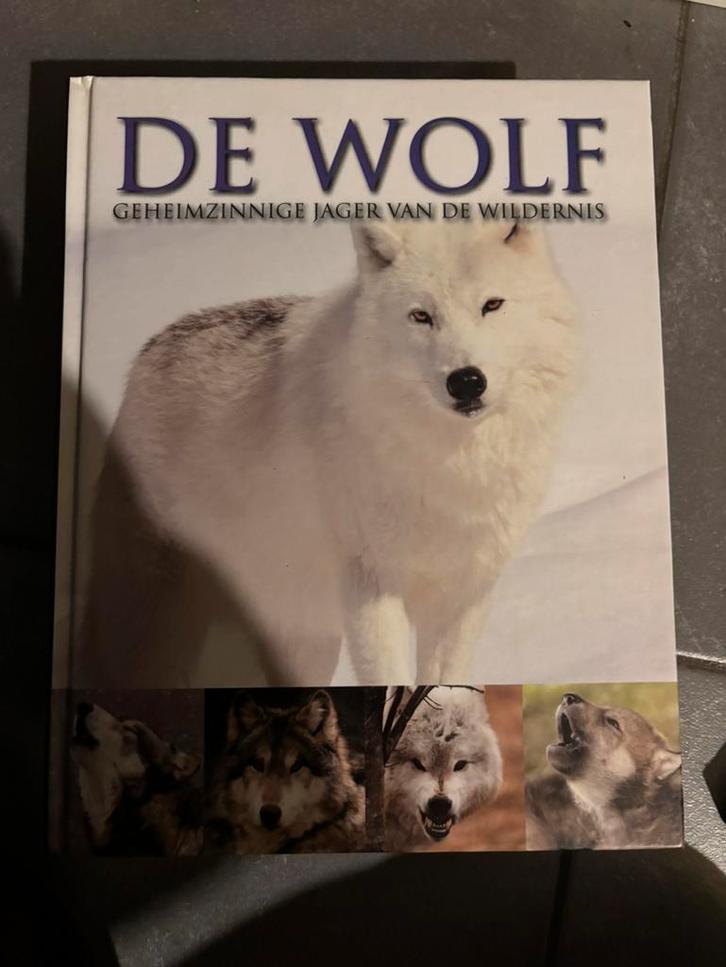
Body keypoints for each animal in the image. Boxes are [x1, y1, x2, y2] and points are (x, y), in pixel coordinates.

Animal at [82, 219, 579, 687]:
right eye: (421, 316)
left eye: (492, 305)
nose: (466, 381)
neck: (451, 464)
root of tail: (147, 355)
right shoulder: (371, 588)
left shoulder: (464, 595)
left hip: (305, 639)